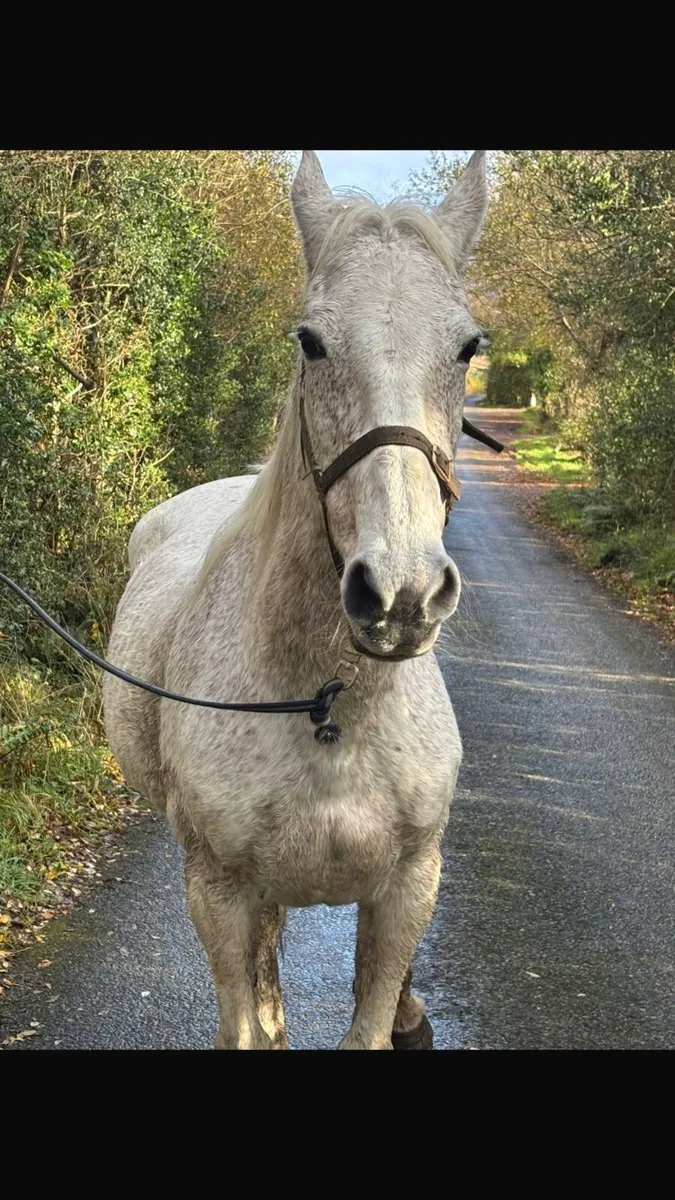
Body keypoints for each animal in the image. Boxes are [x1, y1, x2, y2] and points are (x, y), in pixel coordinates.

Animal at [103, 149, 489, 1049]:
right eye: (310, 342)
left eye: (467, 348)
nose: (401, 593)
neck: (328, 704)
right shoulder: (218, 893)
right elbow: (245, 1011)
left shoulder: (407, 886)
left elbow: (374, 1010)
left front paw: (403, 1014)